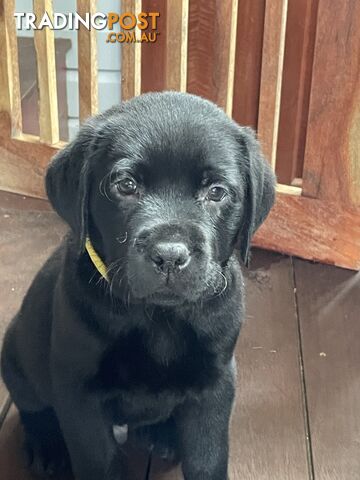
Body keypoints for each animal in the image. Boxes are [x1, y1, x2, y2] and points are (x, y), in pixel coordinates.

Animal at [0, 92, 276, 478]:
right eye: (126, 185)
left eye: (217, 191)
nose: (170, 255)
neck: (158, 317)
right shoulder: (80, 394)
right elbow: (100, 462)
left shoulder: (215, 385)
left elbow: (208, 458)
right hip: (16, 351)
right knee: (33, 406)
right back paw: (48, 446)